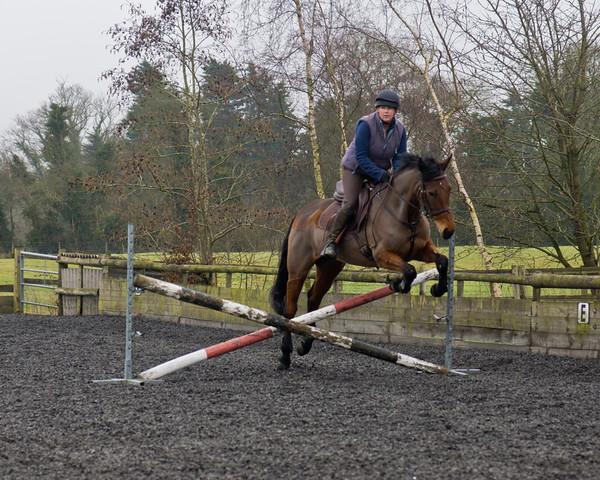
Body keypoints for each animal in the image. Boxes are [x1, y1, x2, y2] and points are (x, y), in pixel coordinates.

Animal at [270, 152, 454, 370]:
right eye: (432, 193)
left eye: (449, 189)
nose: (448, 231)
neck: (404, 213)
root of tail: (302, 213)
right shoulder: (381, 254)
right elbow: (409, 270)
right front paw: (399, 285)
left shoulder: (421, 250)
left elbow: (442, 260)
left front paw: (438, 289)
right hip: (299, 267)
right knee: (290, 308)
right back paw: (285, 355)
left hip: (329, 266)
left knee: (314, 298)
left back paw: (306, 342)